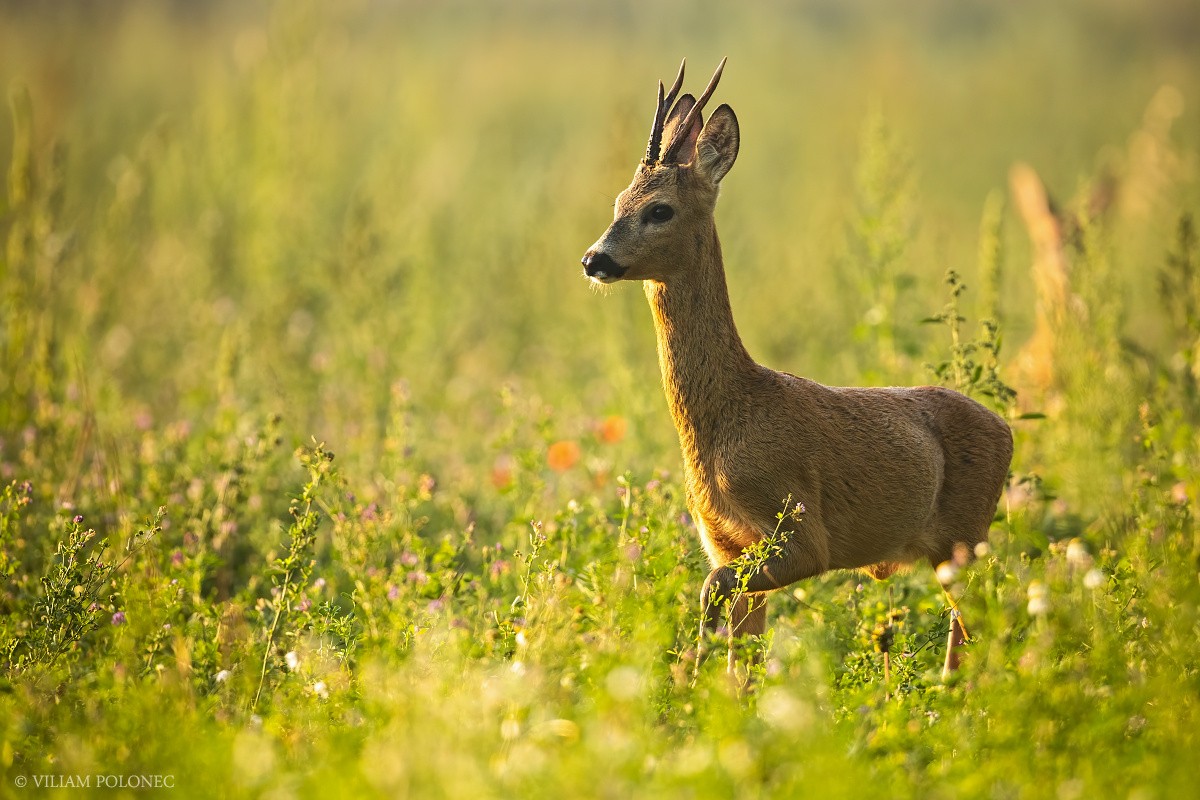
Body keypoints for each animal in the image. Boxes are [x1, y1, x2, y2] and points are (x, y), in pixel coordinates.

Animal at [580, 59, 1012, 681]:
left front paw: (688, 673)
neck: (726, 419)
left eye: (659, 209)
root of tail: (1008, 430)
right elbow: (740, 653)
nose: (594, 259)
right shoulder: (725, 539)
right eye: (618, 200)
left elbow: (712, 590)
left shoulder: (803, 530)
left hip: (963, 534)